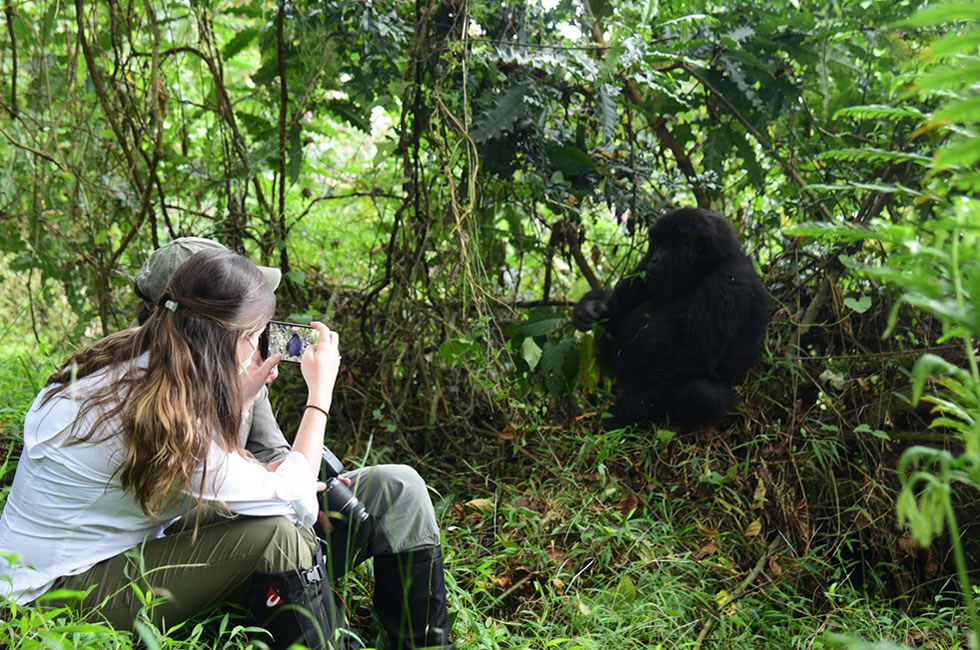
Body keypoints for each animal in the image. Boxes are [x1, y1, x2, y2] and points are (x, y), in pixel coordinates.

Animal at [572, 208, 768, 428]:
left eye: (668, 246)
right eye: (656, 244)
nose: (655, 259)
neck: (703, 269)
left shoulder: (730, 278)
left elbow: (694, 353)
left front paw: (627, 408)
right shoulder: (647, 268)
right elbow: (620, 311)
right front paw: (589, 306)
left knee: (701, 394)